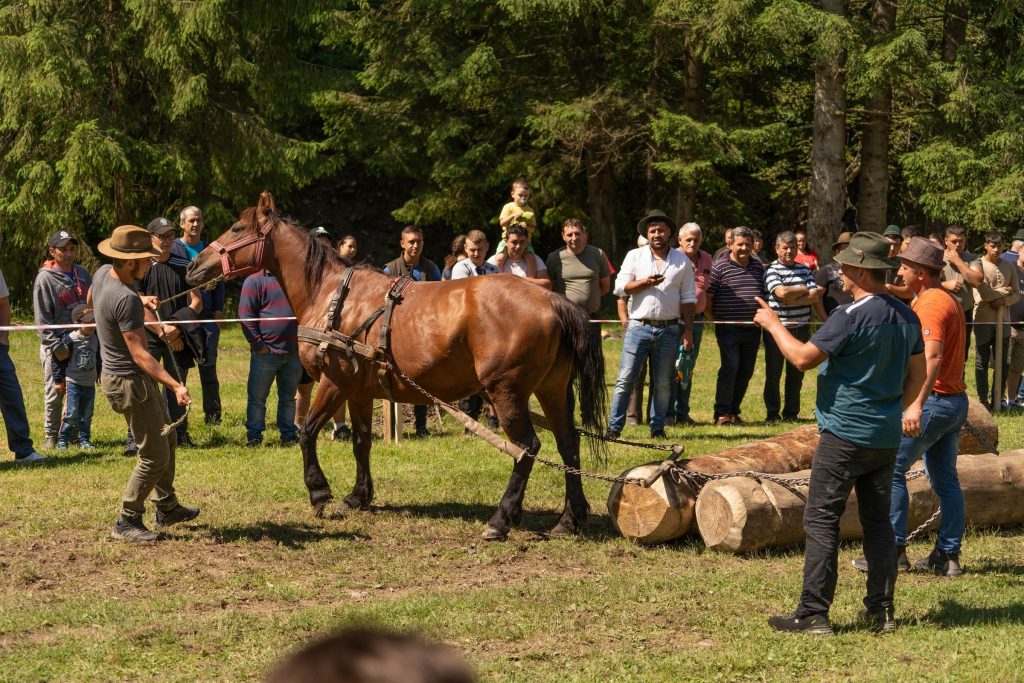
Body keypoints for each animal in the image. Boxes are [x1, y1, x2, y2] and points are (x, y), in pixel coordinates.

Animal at [186, 192, 606, 540]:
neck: (331, 293)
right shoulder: (357, 389)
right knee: (568, 443)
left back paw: (501, 519)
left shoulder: (333, 382)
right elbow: (361, 441)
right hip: (551, 389)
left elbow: (306, 432)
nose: (193, 266)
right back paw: (570, 518)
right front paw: (358, 496)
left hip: (506, 392)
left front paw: (319, 492)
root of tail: (552, 300)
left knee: (527, 447)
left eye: (237, 228)